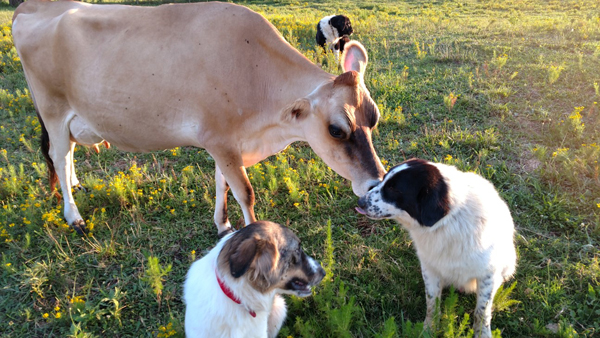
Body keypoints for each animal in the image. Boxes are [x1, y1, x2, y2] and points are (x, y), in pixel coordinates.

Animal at [11, 0, 386, 236]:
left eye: (374, 118)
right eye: (336, 130)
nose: (375, 182)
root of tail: (31, 6)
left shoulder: (227, 143)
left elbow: (222, 183)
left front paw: (223, 225)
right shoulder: (220, 140)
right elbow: (245, 192)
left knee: (68, 155)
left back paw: (75, 183)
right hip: (53, 110)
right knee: (59, 157)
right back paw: (73, 215)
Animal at [356, 159, 516, 338]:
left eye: (394, 189)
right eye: (383, 180)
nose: (360, 202)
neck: (448, 223)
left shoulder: (487, 274)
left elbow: (482, 311)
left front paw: (482, 334)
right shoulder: (430, 269)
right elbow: (432, 302)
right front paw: (429, 330)